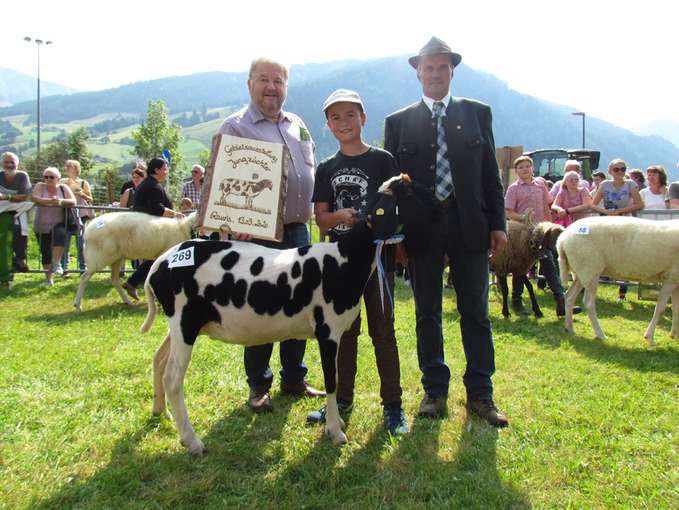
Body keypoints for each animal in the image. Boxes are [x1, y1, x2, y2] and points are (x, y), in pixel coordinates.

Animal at [141, 174, 444, 454]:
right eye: (410, 193)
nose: (440, 206)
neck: (346, 258)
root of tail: (161, 262)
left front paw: (336, 424)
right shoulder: (327, 331)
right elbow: (332, 380)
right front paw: (336, 432)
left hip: (179, 326)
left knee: (158, 360)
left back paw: (160, 411)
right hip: (184, 323)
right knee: (173, 378)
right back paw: (192, 441)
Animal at [556, 214, 679, 342]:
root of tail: (562, 239)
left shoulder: (676, 280)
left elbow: (676, 308)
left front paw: (674, 335)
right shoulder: (671, 277)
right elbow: (660, 309)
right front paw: (649, 337)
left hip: (583, 272)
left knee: (569, 297)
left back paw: (569, 328)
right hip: (590, 268)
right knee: (588, 303)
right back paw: (600, 334)